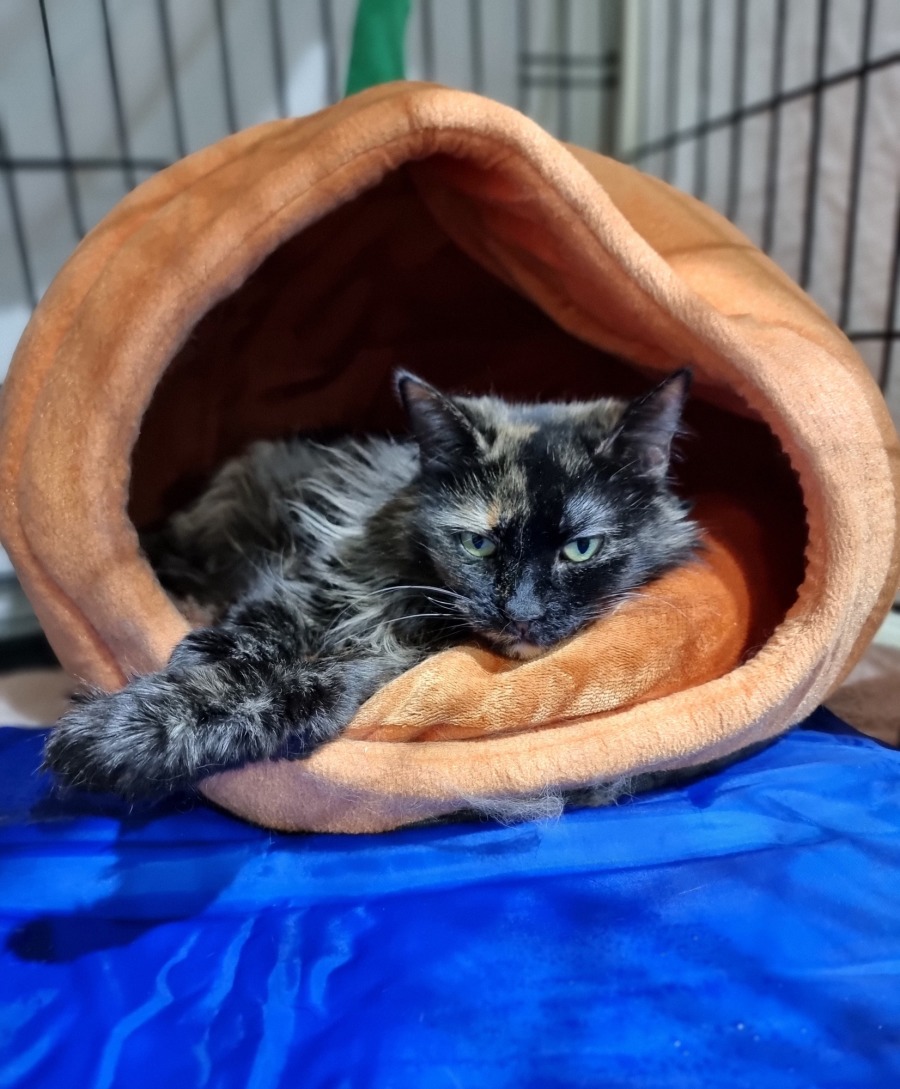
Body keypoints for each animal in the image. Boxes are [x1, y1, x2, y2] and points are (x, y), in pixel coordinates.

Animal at [43, 369, 699, 799]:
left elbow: (280, 691)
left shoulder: (388, 661)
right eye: (478, 544)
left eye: (580, 549)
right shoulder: (318, 575)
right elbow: (259, 630)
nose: (521, 611)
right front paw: (198, 659)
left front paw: (116, 737)